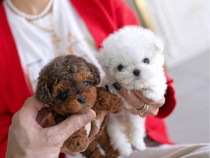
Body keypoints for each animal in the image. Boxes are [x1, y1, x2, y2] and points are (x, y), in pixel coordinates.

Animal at [98, 25, 167, 156]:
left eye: (146, 60)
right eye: (120, 67)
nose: (136, 71)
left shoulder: (158, 77)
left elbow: (157, 81)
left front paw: (152, 93)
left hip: (135, 119)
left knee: (137, 129)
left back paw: (138, 144)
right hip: (113, 121)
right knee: (116, 134)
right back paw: (125, 149)